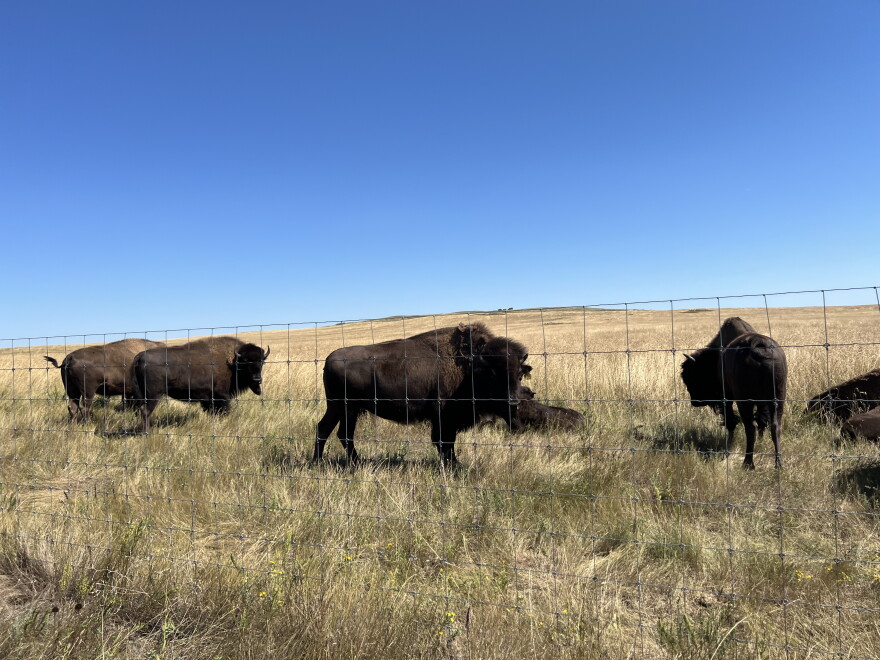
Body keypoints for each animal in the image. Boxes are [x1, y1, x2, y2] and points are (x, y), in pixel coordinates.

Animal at [131, 337, 270, 432]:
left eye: (262, 361)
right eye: (245, 362)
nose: (257, 379)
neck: (232, 362)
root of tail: (140, 356)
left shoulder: (208, 399)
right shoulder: (222, 396)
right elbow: (223, 411)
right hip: (153, 395)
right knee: (145, 410)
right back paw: (148, 431)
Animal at [314, 322, 532, 465]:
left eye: (520, 375)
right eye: (493, 374)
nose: (513, 402)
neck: (471, 365)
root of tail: (328, 359)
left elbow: (446, 442)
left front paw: (453, 464)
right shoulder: (444, 417)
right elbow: (444, 441)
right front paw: (454, 466)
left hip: (344, 409)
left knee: (334, 431)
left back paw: (338, 462)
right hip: (343, 407)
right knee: (334, 431)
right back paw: (333, 462)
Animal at [681, 317, 787, 469]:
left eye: (692, 376)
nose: (695, 402)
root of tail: (759, 348)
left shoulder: (728, 399)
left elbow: (731, 421)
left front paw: (728, 448)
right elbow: (762, 420)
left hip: (744, 401)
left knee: (751, 426)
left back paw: (748, 464)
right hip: (778, 397)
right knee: (775, 426)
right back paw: (778, 464)